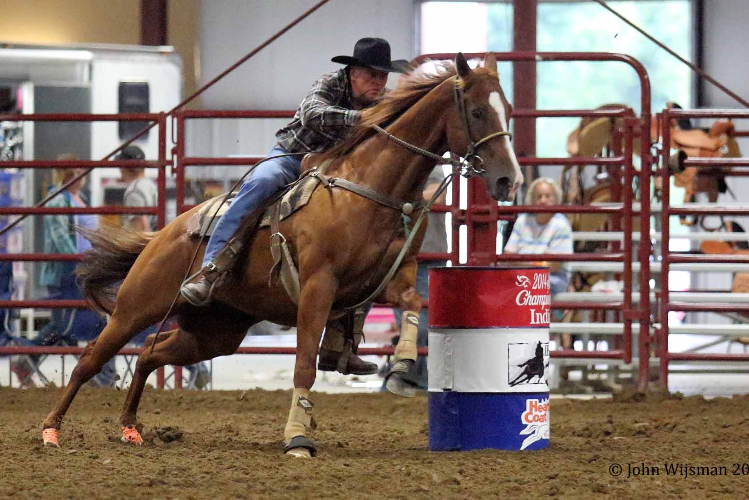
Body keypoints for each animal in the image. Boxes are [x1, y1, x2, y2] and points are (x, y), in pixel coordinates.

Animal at [39, 53, 520, 458]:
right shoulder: (317, 286)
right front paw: (297, 437)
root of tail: (163, 234)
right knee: (90, 361)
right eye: (477, 112)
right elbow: (304, 364)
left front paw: (401, 368)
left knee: (148, 356)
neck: (371, 186)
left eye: (509, 111)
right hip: (135, 309)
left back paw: (130, 427)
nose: (508, 181)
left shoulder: (393, 276)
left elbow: (414, 302)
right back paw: (51, 431)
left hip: (214, 333)